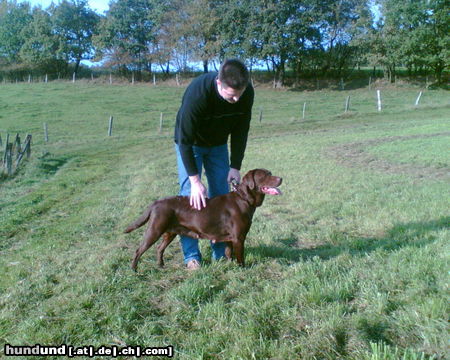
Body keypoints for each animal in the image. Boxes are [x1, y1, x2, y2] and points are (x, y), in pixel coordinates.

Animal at [124, 169, 282, 270]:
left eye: (270, 173)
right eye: (266, 175)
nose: (281, 179)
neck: (244, 199)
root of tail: (156, 203)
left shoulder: (230, 238)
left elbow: (229, 253)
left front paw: (230, 265)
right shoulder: (239, 238)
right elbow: (240, 257)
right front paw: (243, 269)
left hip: (170, 232)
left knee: (159, 248)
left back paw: (161, 265)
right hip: (154, 230)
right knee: (138, 250)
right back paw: (134, 270)